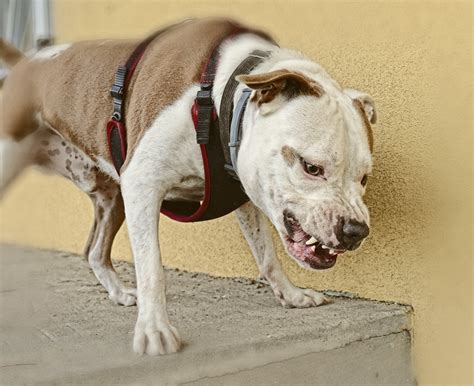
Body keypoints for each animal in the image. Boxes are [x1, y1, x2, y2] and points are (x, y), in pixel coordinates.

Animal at [1, 18, 376, 356]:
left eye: (364, 177)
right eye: (311, 167)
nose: (356, 230)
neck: (218, 97)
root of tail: (27, 61)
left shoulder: (243, 194)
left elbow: (266, 254)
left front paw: (292, 295)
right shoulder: (142, 183)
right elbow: (152, 268)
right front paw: (154, 330)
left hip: (113, 196)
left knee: (94, 250)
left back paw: (120, 293)